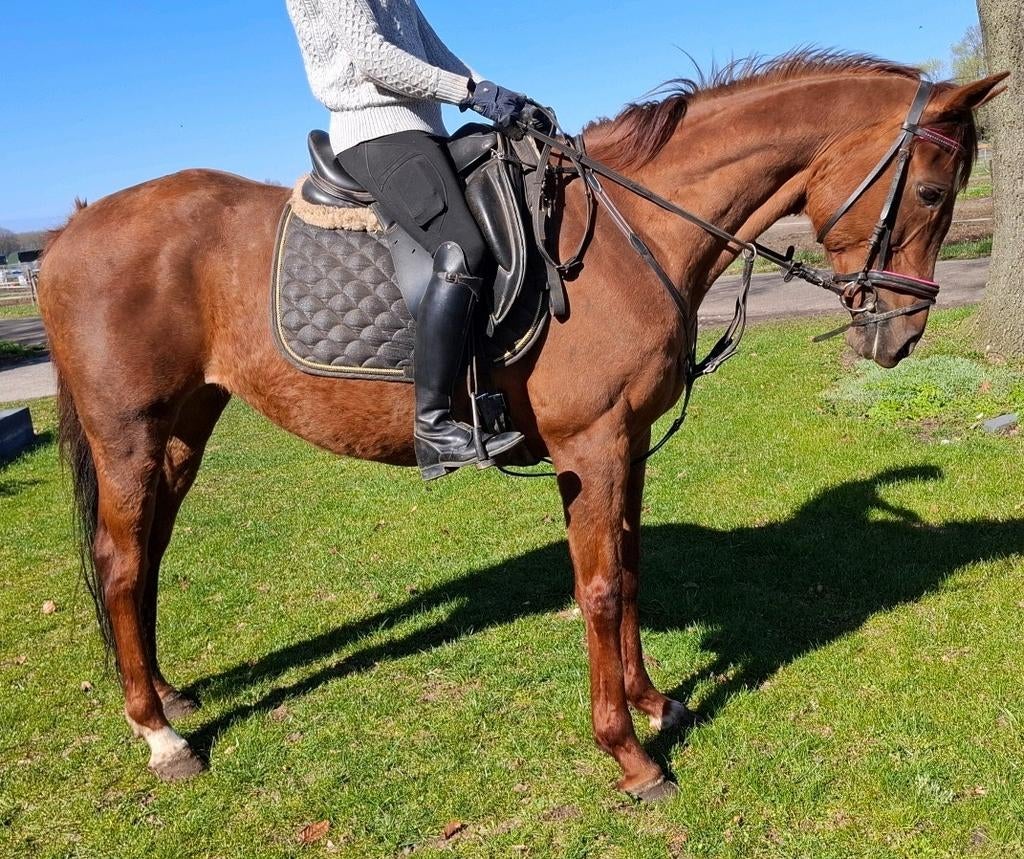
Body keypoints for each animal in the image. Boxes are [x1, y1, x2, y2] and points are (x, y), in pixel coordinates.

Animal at [39, 52, 1004, 799]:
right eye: (929, 189)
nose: (900, 335)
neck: (629, 231)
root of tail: (70, 230)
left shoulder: (628, 445)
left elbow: (632, 565)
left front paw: (654, 701)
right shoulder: (593, 446)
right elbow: (602, 585)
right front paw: (629, 754)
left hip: (181, 430)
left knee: (145, 556)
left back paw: (168, 695)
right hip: (128, 434)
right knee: (120, 561)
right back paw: (159, 734)